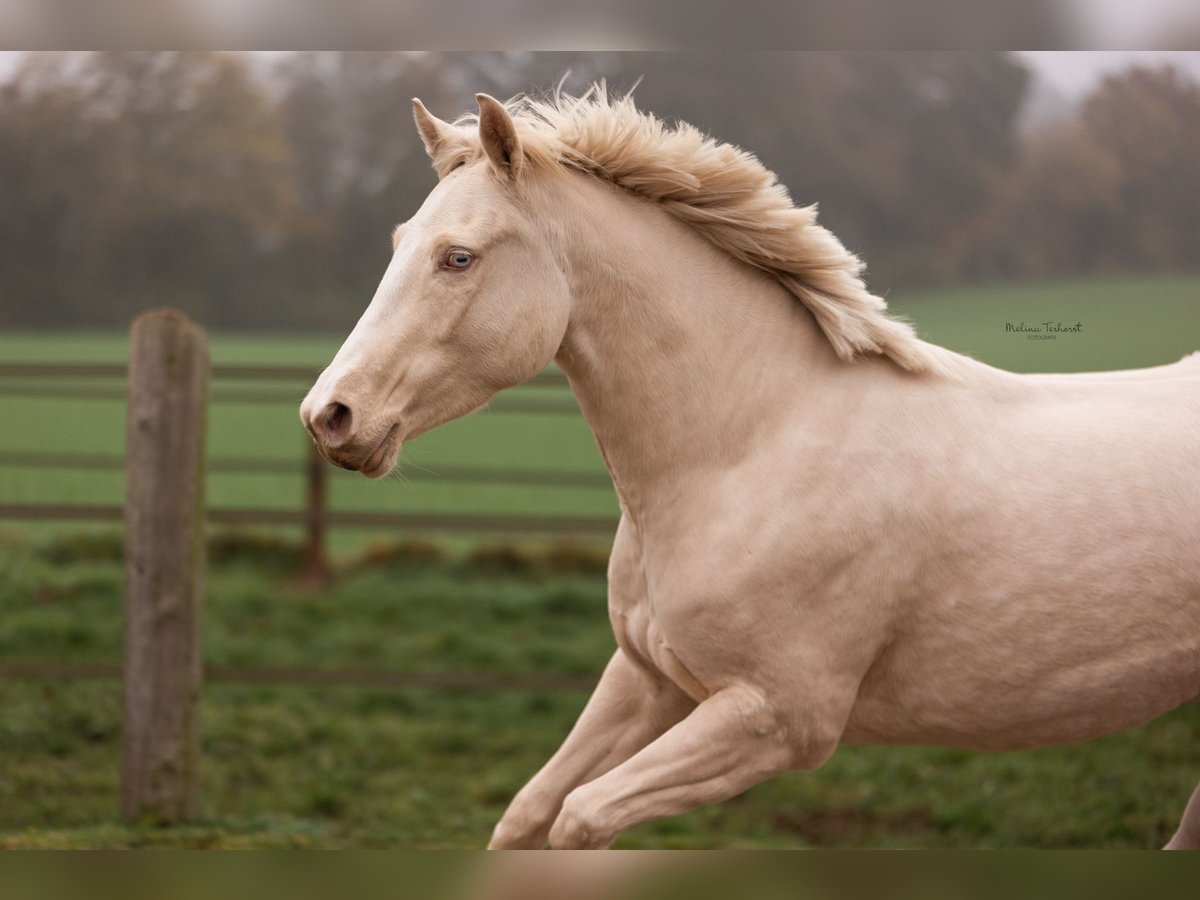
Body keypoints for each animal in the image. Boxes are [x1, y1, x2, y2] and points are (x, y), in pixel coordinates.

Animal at [300, 88, 1200, 849]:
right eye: (399, 244)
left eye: (458, 257)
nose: (329, 416)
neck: (749, 450)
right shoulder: (647, 680)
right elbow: (527, 814)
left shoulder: (776, 721)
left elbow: (580, 819)